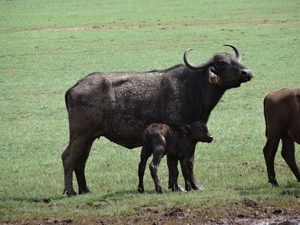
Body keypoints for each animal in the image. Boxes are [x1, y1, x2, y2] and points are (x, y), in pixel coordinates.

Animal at [61, 44, 253, 197]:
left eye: (235, 60)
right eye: (221, 63)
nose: (247, 72)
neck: (192, 87)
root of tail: (74, 87)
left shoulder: (192, 138)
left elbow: (190, 161)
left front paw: (195, 186)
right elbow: (174, 165)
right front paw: (179, 187)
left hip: (89, 137)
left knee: (80, 162)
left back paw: (85, 190)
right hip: (80, 135)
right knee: (68, 157)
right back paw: (70, 192)